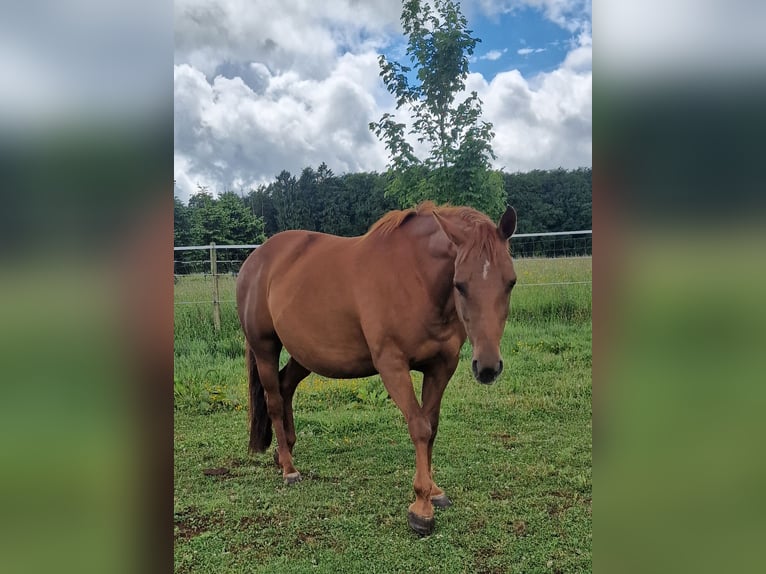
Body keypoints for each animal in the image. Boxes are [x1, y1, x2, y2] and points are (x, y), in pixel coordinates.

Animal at [235, 201, 517, 536]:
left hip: (303, 355)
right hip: (265, 348)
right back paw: (289, 469)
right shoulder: (392, 365)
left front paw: (434, 492)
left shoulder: (440, 366)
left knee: (285, 386)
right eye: (459, 285)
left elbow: (432, 427)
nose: (487, 367)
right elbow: (419, 427)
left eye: (510, 282)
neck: (415, 277)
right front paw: (421, 508)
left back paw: (284, 454)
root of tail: (255, 259)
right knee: (275, 401)